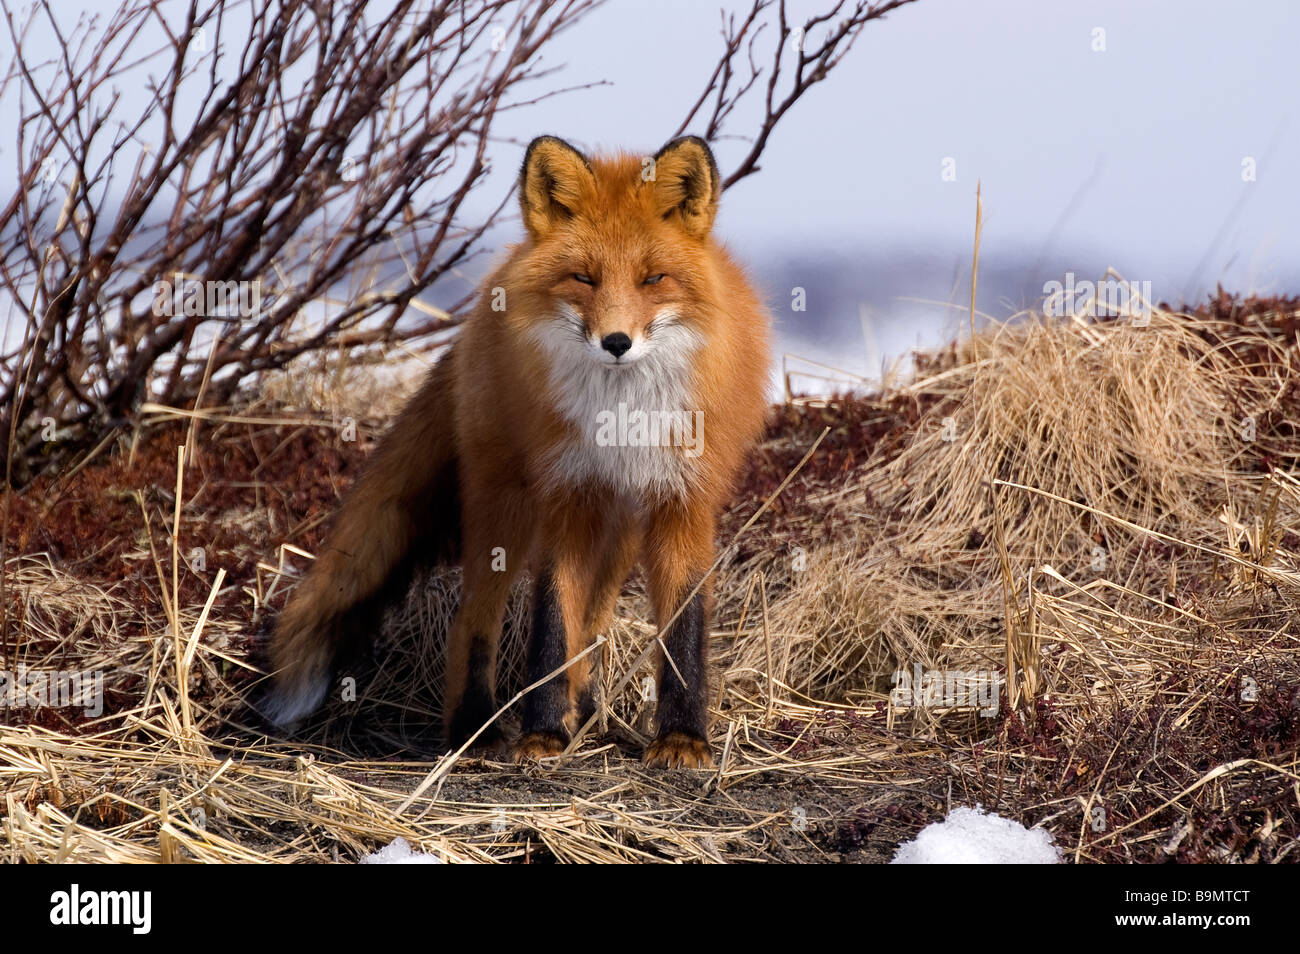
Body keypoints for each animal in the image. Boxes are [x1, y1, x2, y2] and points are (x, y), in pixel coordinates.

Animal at [262, 136, 769, 769]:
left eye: (654, 278)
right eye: (583, 278)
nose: (617, 343)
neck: (621, 415)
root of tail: (488, 296)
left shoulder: (682, 501)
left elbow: (681, 629)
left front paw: (681, 738)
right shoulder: (565, 494)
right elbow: (550, 621)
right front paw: (542, 733)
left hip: (621, 523)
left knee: (593, 619)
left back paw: (585, 709)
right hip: (505, 501)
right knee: (472, 620)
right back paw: (476, 730)